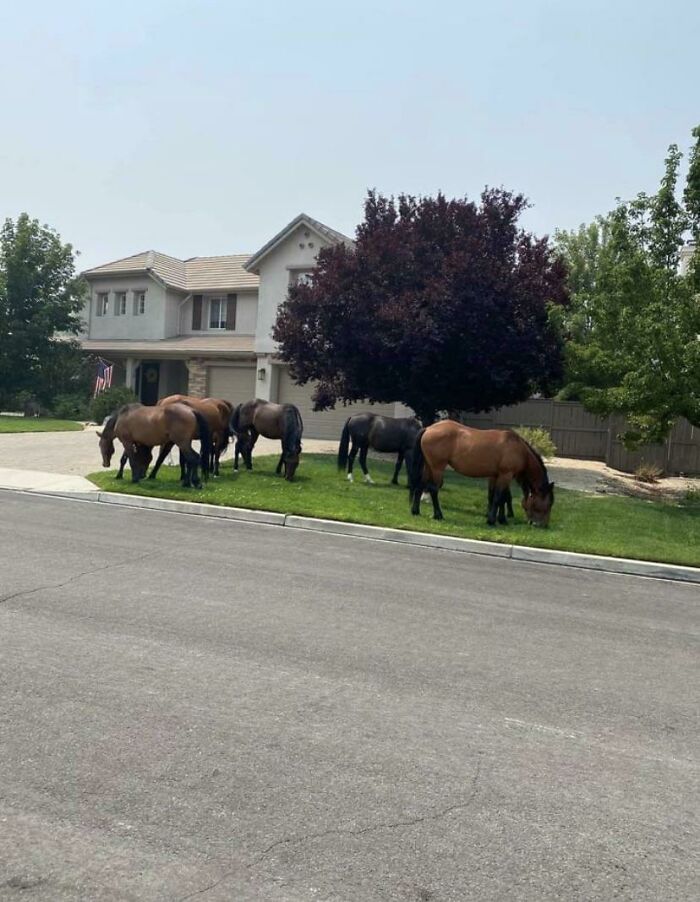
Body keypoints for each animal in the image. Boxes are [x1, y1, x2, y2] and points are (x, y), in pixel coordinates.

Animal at [407, 420, 555, 526]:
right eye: (548, 504)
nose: (543, 525)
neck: (518, 449)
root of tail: (428, 429)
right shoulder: (506, 475)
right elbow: (499, 497)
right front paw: (492, 521)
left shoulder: (497, 476)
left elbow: (499, 497)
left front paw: (501, 519)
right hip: (437, 468)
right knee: (433, 489)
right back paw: (438, 515)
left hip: (429, 466)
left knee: (420, 486)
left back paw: (415, 511)